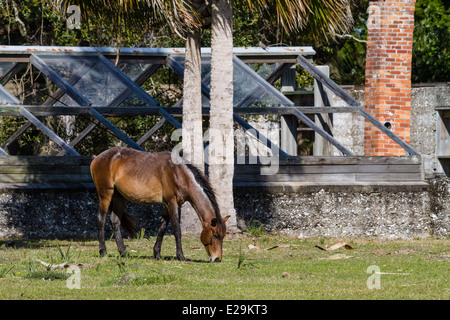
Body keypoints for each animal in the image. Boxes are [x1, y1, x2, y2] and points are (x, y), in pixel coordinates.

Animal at [89, 148, 229, 262]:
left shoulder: (168, 205)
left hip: (119, 197)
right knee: (101, 219)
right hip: (106, 193)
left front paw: (157, 254)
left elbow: (162, 228)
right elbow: (176, 229)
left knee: (115, 221)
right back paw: (103, 252)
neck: (179, 174)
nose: (217, 258)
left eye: (223, 236)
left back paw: (124, 253)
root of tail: (97, 158)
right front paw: (180, 256)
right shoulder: (172, 203)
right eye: (215, 235)